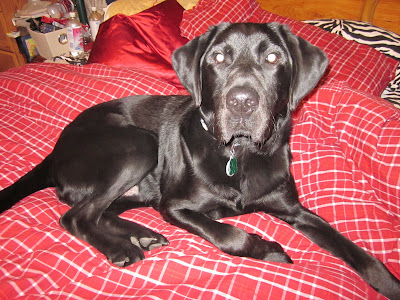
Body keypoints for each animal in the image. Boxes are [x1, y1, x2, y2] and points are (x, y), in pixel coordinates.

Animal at [0, 22, 400, 298]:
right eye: (218, 58)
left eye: (273, 58)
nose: (242, 102)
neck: (240, 153)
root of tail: (56, 149)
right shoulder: (177, 206)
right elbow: (228, 234)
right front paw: (268, 249)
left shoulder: (292, 209)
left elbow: (352, 248)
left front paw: (387, 282)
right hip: (138, 145)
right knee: (76, 216)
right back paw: (121, 247)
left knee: (103, 211)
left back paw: (143, 235)